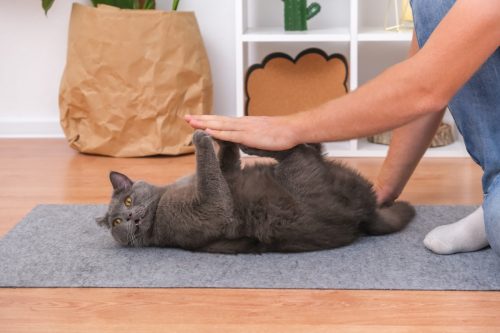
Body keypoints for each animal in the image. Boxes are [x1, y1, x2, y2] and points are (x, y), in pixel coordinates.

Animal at [96, 130, 414, 252]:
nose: (131, 217)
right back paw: (261, 142)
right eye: (117, 222)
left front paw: (221, 139)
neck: (163, 198)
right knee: (296, 151)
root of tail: (364, 216)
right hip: (298, 172)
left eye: (127, 200)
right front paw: (201, 137)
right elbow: (213, 184)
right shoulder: (209, 210)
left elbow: (221, 168)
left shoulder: (223, 176)